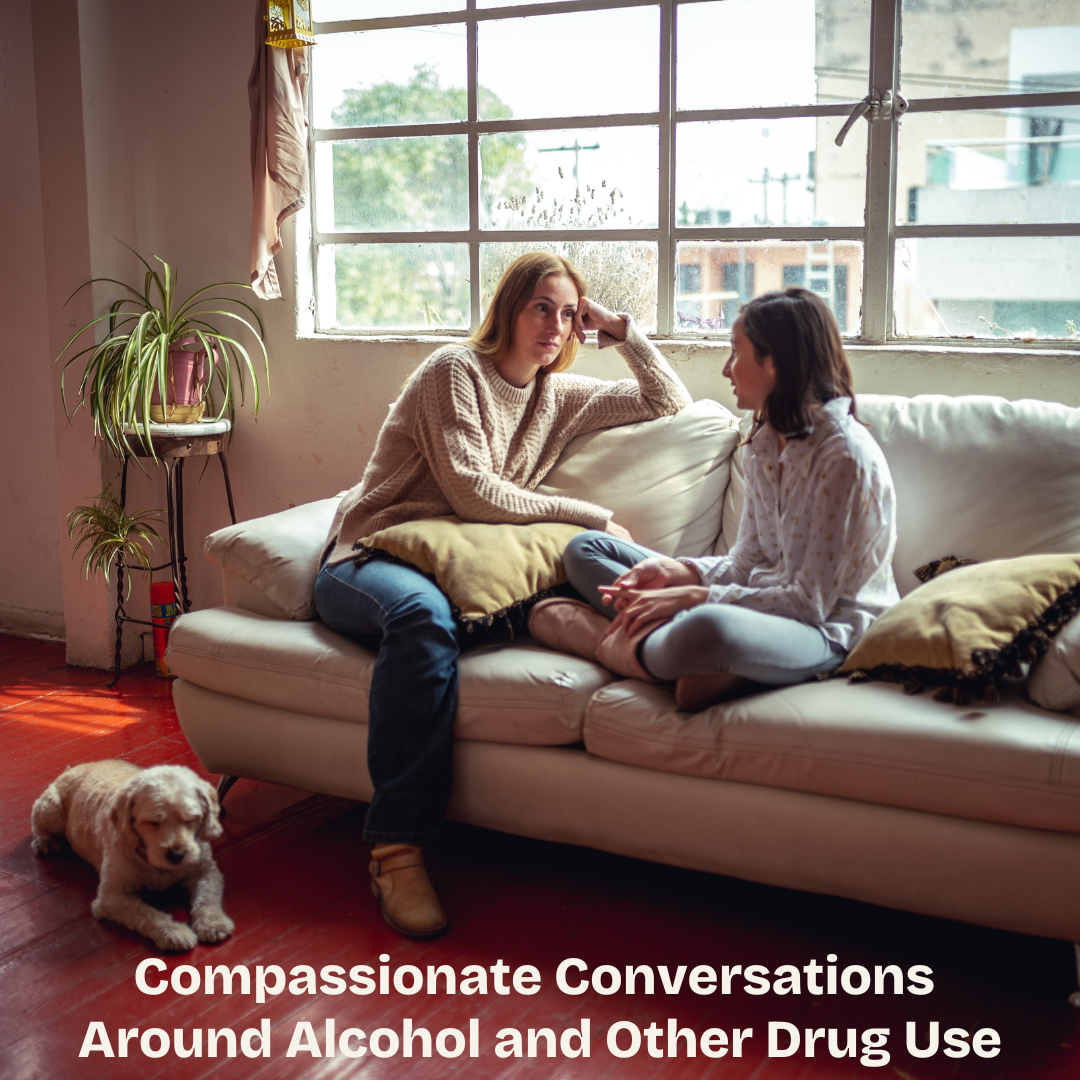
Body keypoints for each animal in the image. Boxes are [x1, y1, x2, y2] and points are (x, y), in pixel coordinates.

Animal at [32, 764, 236, 950]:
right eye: (153, 822)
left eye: (190, 819)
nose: (177, 855)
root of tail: (72, 768)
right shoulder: (111, 899)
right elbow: (148, 914)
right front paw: (174, 932)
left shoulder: (206, 871)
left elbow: (207, 897)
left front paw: (212, 923)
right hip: (51, 811)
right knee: (38, 825)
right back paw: (45, 842)